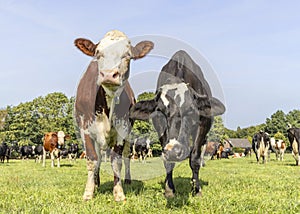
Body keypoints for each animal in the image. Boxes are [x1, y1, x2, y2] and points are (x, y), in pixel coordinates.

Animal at [74, 29, 154, 201]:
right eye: (98, 53)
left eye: (128, 55)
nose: (109, 74)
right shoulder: (85, 128)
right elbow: (92, 159)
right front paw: (88, 192)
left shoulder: (122, 130)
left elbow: (117, 161)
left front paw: (118, 193)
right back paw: (96, 182)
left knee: (126, 156)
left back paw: (127, 180)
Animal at [129, 49, 225, 197]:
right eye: (160, 111)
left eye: (190, 109)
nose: (174, 151)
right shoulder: (160, 130)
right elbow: (167, 162)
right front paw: (169, 189)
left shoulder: (203, 125)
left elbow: (194, 158)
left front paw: (196, 189)